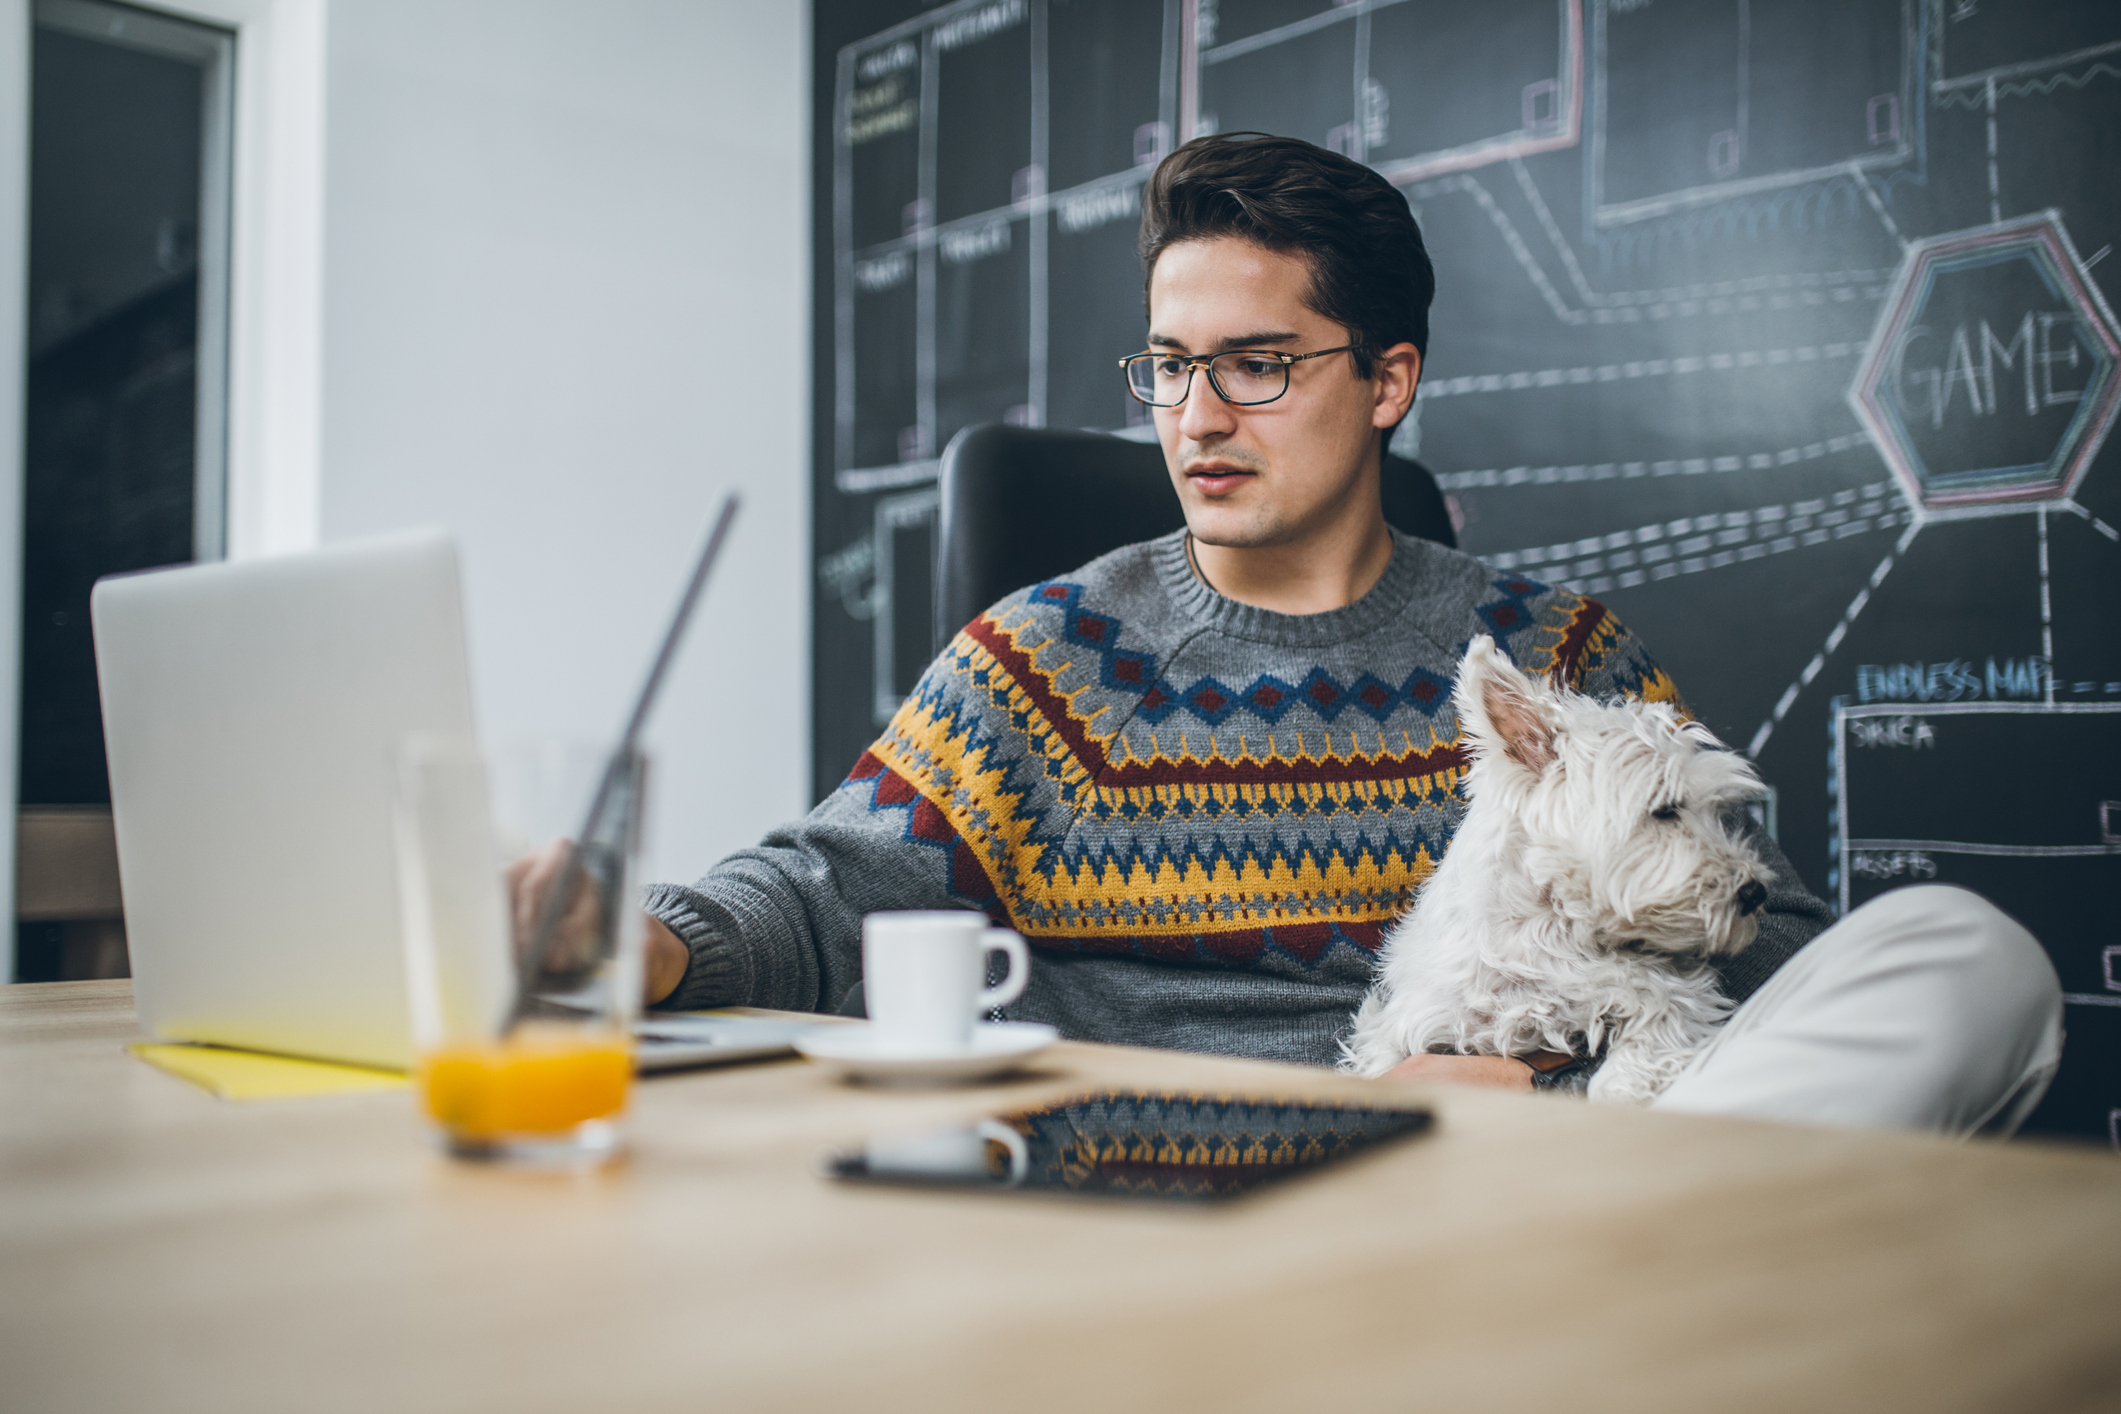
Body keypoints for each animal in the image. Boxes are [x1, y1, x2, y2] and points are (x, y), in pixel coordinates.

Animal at [1340, 631, 1773, 1102]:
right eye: (1665, 809)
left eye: (1717, 812)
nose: (1755, 892)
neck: (1546, 933)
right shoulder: (1410, 1023)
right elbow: (1383, 1059)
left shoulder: (1673, 1000)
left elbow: (1628, 1070)